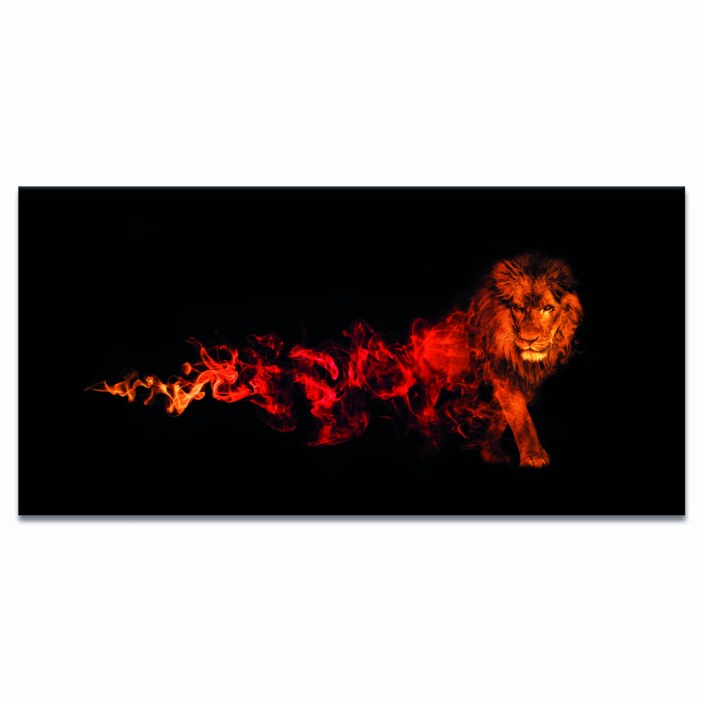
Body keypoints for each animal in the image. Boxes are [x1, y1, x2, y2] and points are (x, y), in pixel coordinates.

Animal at [466, 253, 583, 468]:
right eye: (518, 308)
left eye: (548, 308)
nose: (529, 340)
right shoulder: (501, 369)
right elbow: (519, 414)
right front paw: (534, 456)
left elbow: (503, 415)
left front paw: (489, 451)